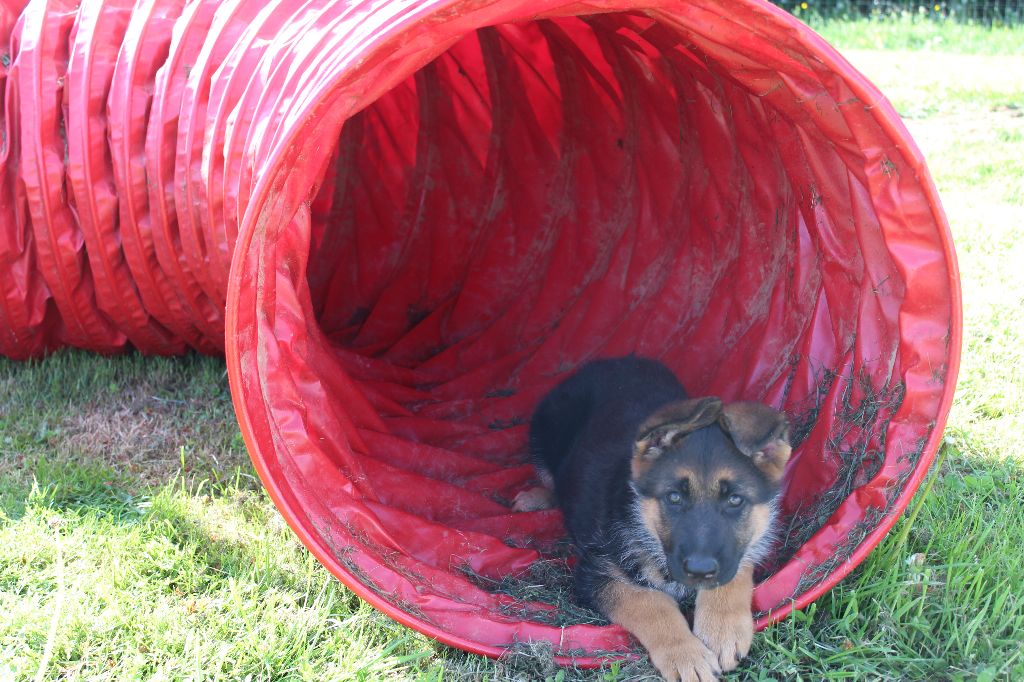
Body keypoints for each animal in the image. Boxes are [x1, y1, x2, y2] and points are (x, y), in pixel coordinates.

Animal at [513, 356, 791, 682]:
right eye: (673, 498)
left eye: (735, 500)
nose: (699, 569)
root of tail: (613, 360)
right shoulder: (595, 574)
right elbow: (650, 603)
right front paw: (685, 654)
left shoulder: (737, 551)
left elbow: (734, 569)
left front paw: (723, 628)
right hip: (547, 429)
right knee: (550, 476)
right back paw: (535, 497)